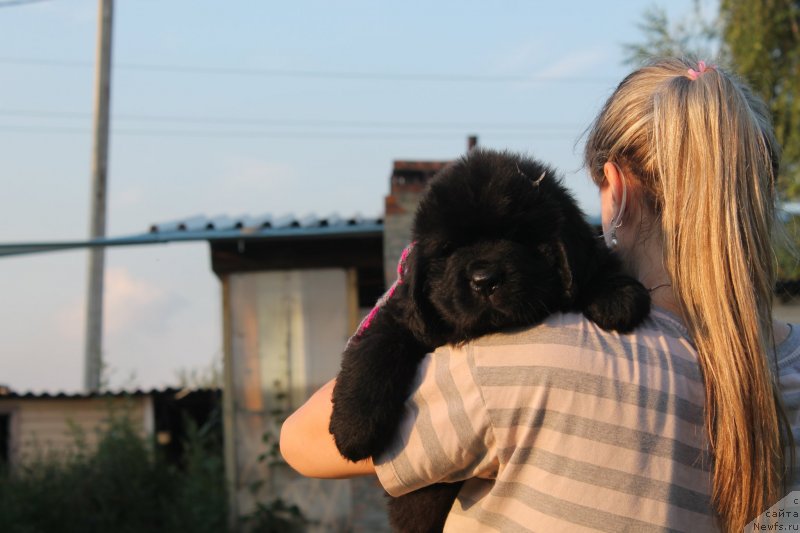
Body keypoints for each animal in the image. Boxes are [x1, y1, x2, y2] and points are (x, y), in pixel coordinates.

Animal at [328, 149, 648, 532]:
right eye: (449, 249)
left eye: (520, 238)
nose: (485, 280)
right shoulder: (402, 314)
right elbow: (375, 349)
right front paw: (353, 430)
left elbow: (595, 266)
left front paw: (618, 296)